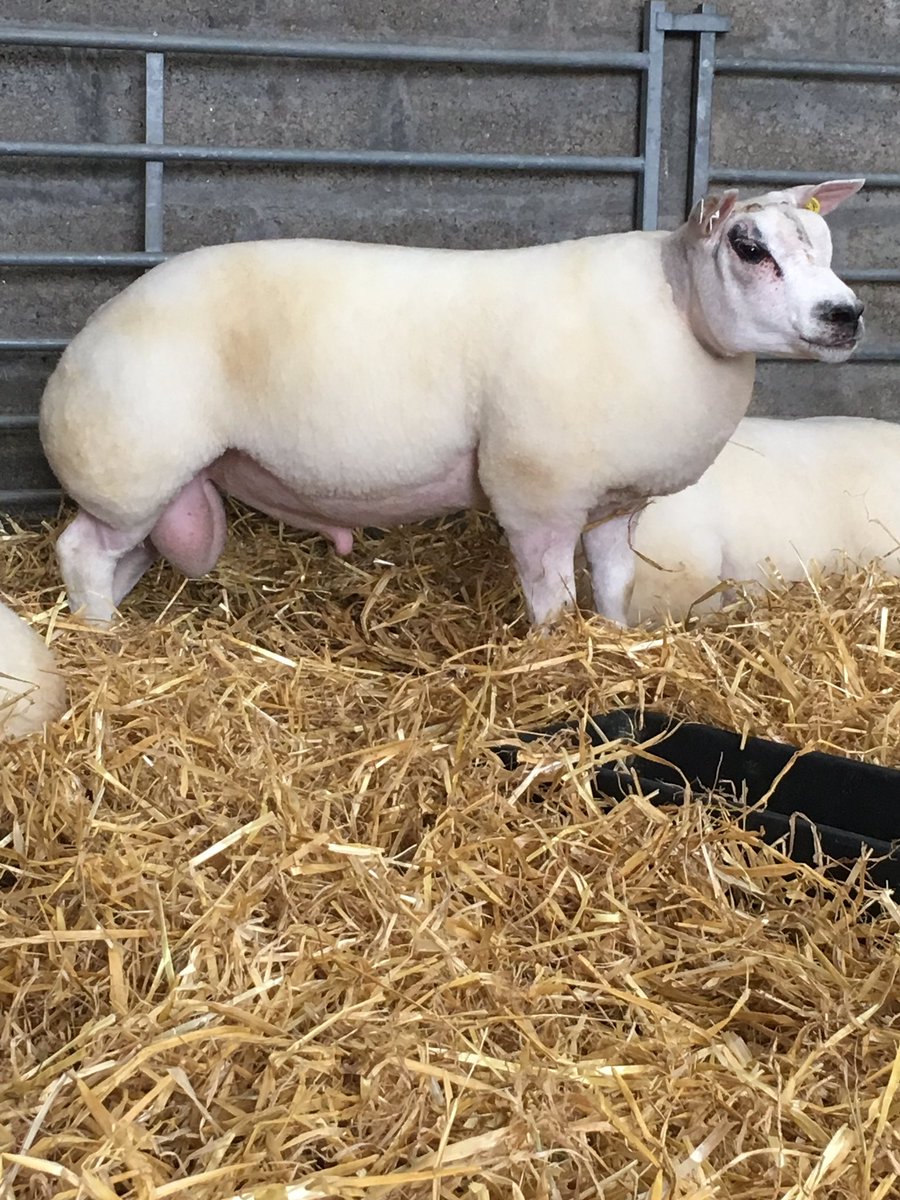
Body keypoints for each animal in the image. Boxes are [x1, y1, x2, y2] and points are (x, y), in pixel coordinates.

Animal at [39, 178, 864, 629]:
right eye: (749, 247)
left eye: (824, 244)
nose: (845, 315)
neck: (675, 310)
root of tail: (82, 344)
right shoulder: (537, 493)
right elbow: (552, 599)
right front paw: (557, 655)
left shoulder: (615, 502)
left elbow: (615, 587)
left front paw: (613, 638)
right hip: (132, 466)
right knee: (80, 554)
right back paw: (103, 638)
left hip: (159, 490)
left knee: (116, 559)